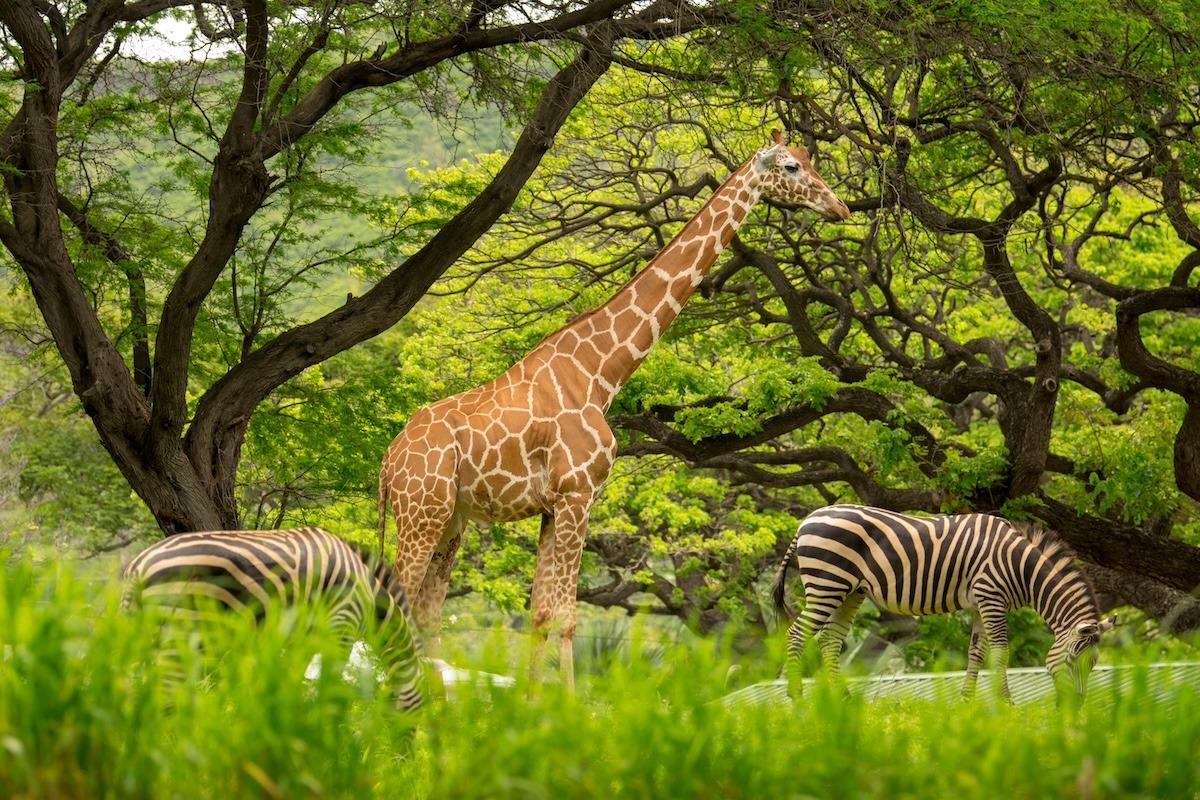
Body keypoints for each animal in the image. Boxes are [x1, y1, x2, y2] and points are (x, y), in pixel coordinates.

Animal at [121, 527, 429, 710]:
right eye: (420, 710)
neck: (369, 593)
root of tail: (138, 566)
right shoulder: (342, 624)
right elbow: (329, 689)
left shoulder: (304, 638)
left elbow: (290, 682)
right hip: (180, 635)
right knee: (165, 700)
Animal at [379, 128, 849, 690]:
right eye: (791, 167)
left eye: (810, 158)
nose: (840, 206)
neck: (600, 373)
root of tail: (387, 462)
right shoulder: (578, 494)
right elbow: (566, 617)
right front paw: (566, 704)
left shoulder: (551, 506)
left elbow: (540, 614)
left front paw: (532, 704)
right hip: (421, 511)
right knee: (397, 604)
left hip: (452, 519)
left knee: (425, 612)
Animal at [768, 506, 1113, 700]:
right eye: (1074, 660)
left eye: (1094, 663)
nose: (1076, 706)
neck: (1021, 567)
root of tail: (807, 520)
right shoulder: (991, 597)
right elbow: (1001, 652)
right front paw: (1006, 702)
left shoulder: (981, 602)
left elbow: (977, 652)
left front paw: (966, 701)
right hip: (827, 584)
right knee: (797, 634)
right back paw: (796, 696)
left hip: (850, 591)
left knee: (829, 640)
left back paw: (844, 697)